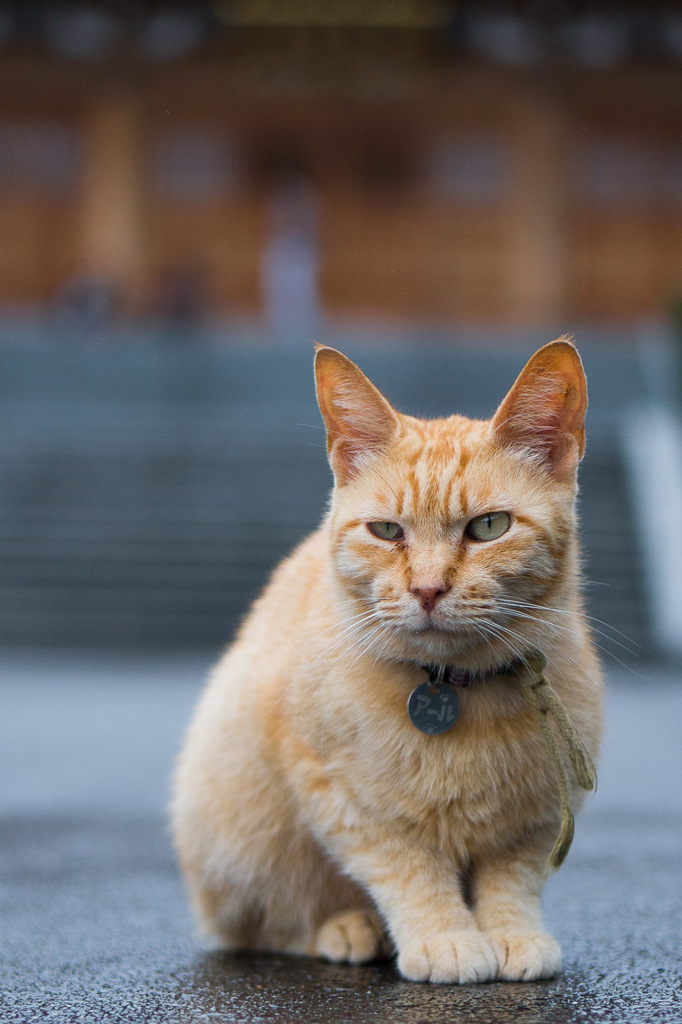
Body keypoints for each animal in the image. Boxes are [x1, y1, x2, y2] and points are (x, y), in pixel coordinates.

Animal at [169, 342, 602, 983]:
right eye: (386, 531)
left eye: (489, 526)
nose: (427, 589)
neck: (453, 688)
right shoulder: (342, 797)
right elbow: (410, 870)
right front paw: (447, 938)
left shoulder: (537, 814)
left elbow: (512, 880)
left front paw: (512, 934)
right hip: (238, 824)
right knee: (262, 924)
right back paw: (346, 929)